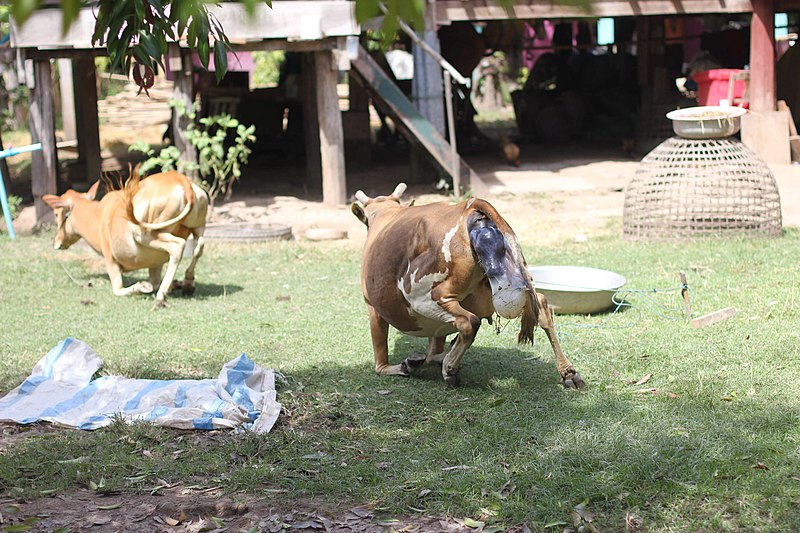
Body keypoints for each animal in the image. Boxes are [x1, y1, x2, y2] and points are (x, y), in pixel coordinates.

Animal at [43, 168, 208, 306]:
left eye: (56, 213)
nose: (57, 242)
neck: (99, 214)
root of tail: (182, 181)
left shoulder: (111, 260)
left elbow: (118, 289)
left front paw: (143, 286)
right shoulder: (156, 263)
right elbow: (154, 281)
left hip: (144, 233)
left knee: (178, 246)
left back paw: (162, 294)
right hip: (198, 226)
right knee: (200, 245)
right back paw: (187, 283)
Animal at [354, 183, 584, 386]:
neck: (385, 213)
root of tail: (468, 207)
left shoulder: (372, 306)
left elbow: (380, 355)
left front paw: (396, 366)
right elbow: (434, 346)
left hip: (424, 297)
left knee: (468, 322)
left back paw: (448, 369)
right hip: (509, 282)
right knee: (542, 306)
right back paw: (568, 373)